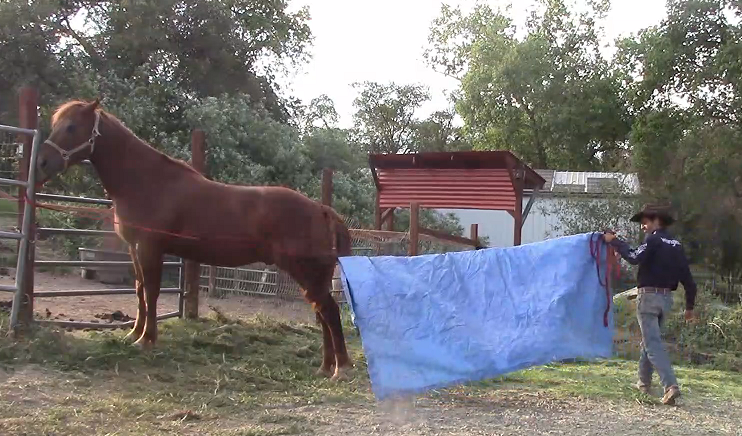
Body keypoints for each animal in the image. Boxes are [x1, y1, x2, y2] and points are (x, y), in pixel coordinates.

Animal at [35, 99, 353, 381]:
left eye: (72, 127)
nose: (42, 163)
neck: (147, 182)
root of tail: (321, 209)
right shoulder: (135, 249)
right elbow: (139, 292)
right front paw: (134, 333)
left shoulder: (150, 249)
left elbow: (151, 293)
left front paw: (146, 340)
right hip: (313, 276)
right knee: (322, 312)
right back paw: (325, 367)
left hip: (305, 271)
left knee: (329, 311)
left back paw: (340, 368)